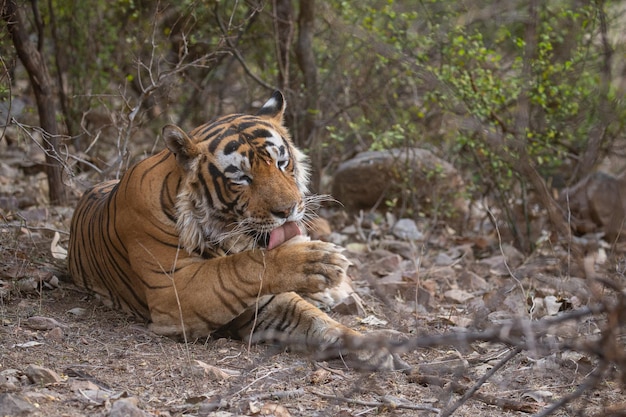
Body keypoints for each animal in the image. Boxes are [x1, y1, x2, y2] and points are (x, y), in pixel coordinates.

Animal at [68, 92, 404, 370]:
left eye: (282, 162)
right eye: (242, 178)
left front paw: (371, 346)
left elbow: (317, 320)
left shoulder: (267, 303)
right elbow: (238, 268)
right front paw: (314, 260)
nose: (288, 210)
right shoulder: (174, 290)